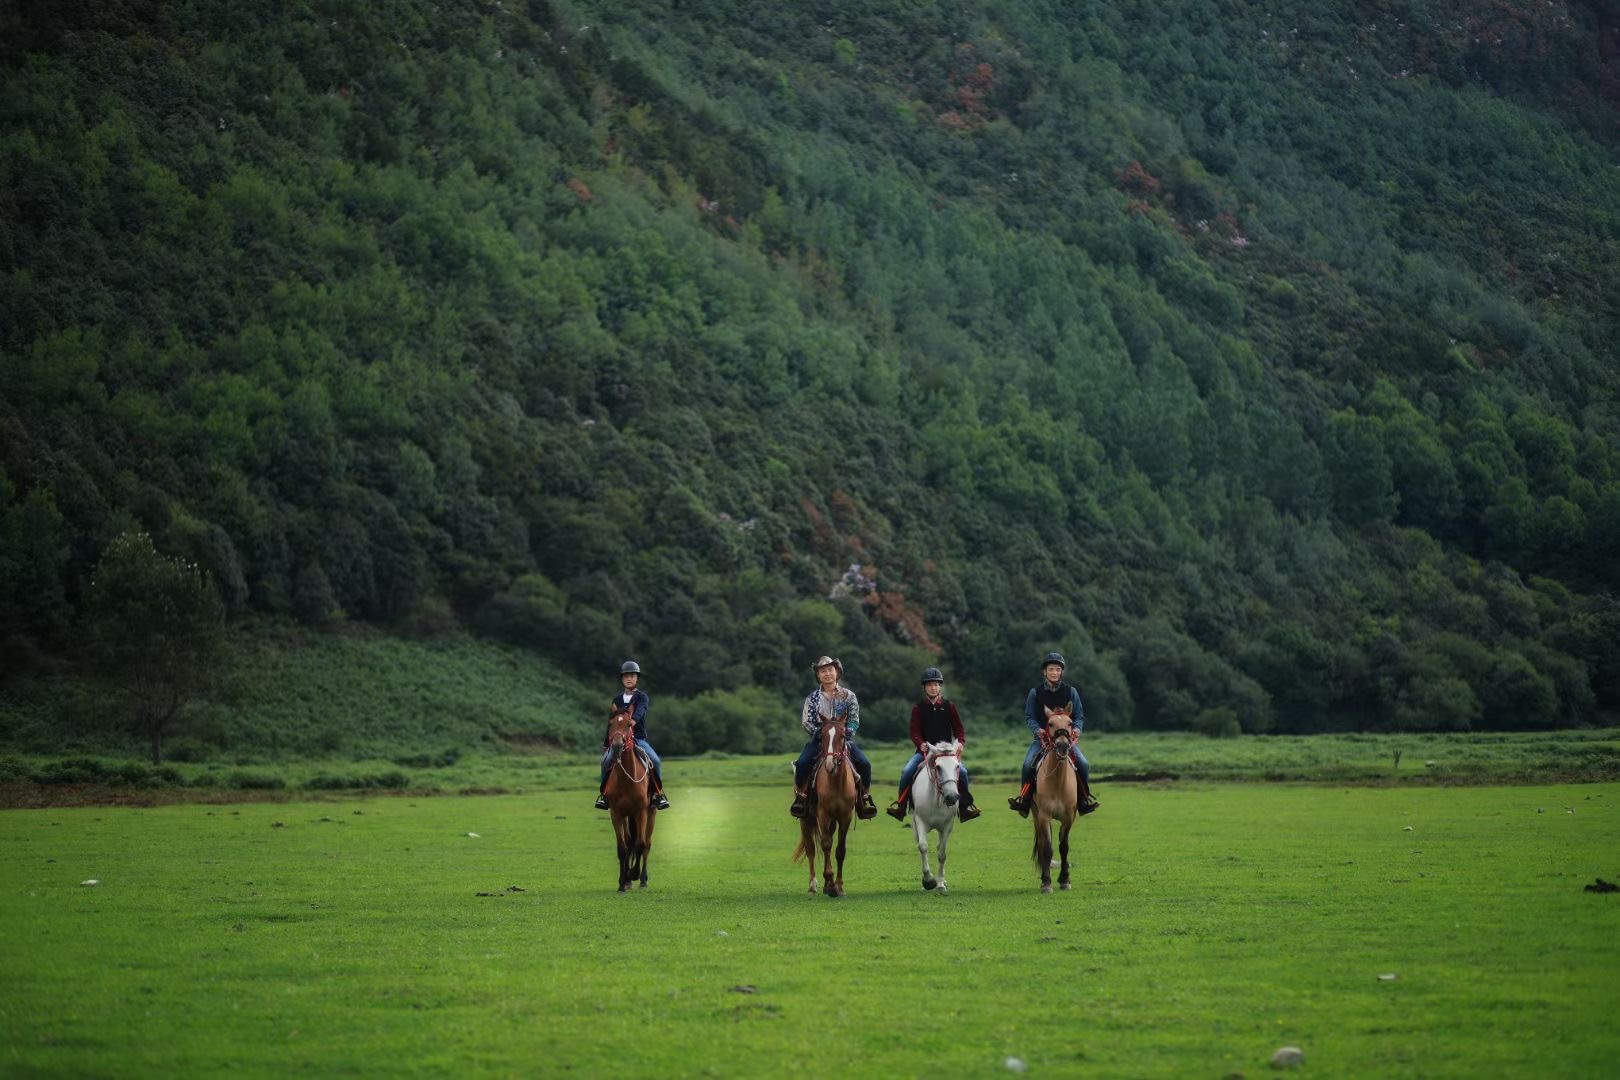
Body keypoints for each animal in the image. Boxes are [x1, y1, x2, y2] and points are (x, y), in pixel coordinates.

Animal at [605, 705, 654, 893]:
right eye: (611, 724)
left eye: (629, 724)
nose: (617, 746)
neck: (626, 780)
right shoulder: (616, 814)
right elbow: (622, 848)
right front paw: (622, 882)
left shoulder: (641, 813)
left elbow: (640, 845)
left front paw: (634, 874)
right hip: (627, 817)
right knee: (628, 842)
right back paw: (627, 880)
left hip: (651, 814)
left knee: (646, 844)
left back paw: (643, 879)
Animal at [787, 722, 855, 900]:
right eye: (822, 736)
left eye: (843, 736)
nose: (830, 764)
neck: (836, 782)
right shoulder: (823, 815)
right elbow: (825, 845)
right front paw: (830, 884)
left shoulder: (845, 817)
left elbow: (840, 850)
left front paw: (838, 886)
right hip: (806, 819)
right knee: (811, 849)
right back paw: (813, 885)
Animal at [913, 744, 959, 893]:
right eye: (938, 767)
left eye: (957, 766)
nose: (952, 797)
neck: (937, 800)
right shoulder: (920, 821)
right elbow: (923, 846)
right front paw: (928, 881)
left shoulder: (947, 825)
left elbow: (941, 853)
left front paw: (940, 885)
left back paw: (942, 880)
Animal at [1030, 709, 1082, 893]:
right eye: (1050, 723)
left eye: (1070, 723)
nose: (1062, 745)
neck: (1058, 782)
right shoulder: (1044, 816)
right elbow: (1047, 848)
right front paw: (1046, 883)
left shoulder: (1069, 818)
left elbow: (1063, 847)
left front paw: (1065, 880)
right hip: (1036, 815)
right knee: (1042, 844)